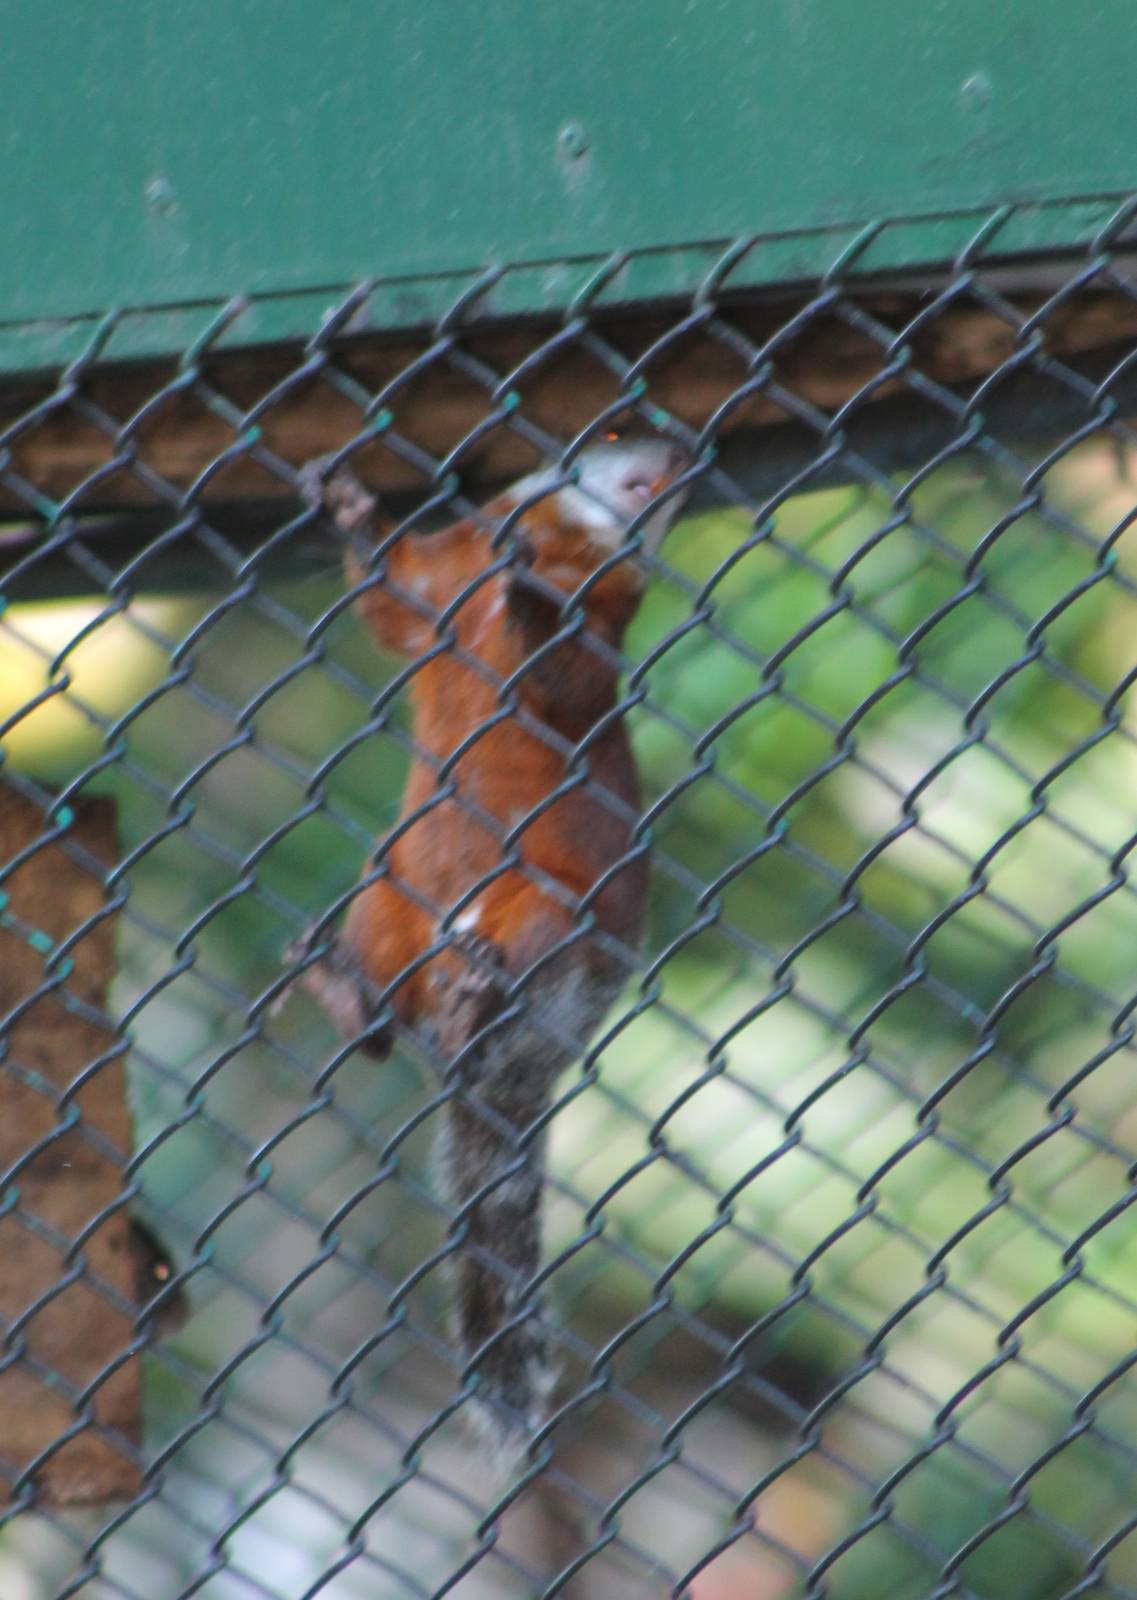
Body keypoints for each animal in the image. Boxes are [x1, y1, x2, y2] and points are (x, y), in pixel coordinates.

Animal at [285, 434, 692, 1456]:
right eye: (618, 434)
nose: (685, 448)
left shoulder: (607, 608)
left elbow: (564, 667)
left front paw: (530, 599)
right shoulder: (439, 579)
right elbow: (390, 596)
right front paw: (346, 502)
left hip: (544, 919)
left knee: (476, 1000)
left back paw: (475, 999)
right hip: (383, 895)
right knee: (380, 1028)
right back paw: (345, 989)